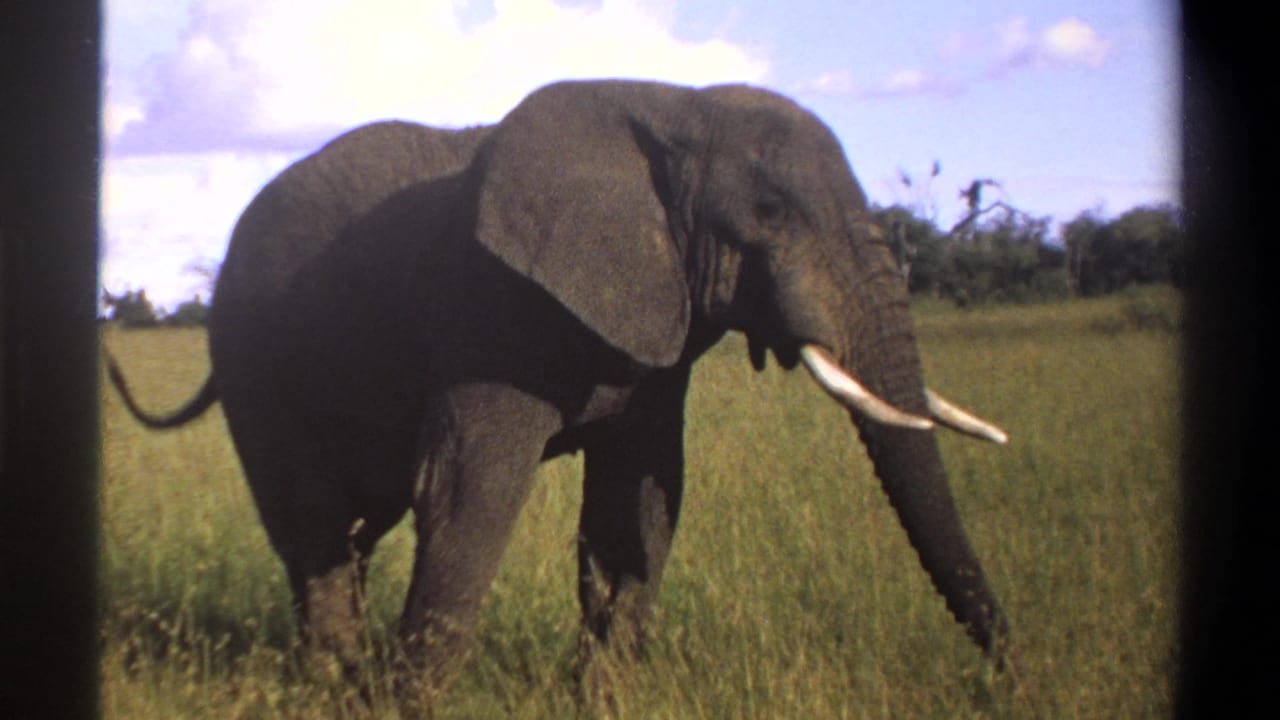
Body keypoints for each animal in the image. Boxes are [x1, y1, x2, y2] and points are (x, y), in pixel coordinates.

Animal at [108, 80, 1010, 704]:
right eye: (769, 209)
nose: (1008, 678)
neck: (677, 107)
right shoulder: (488, 310)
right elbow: (469, 490)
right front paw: (405, 706)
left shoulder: (654, 336)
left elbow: (638, 503)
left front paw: (605, 702)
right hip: (255, 357)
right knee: (314, 525)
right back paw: (334, 686)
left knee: (353, 530)